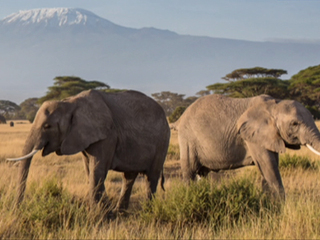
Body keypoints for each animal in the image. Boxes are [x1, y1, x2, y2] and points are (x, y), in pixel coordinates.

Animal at [7, 89, 170, 210]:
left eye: (47, 126)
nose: (17, 210)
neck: (71, 103)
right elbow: (89, 169)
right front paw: (105, 209)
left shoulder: (107, 135)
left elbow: (97, 169)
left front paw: (97, 214)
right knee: (129, 177)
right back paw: (121, 212)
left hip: (162, 141)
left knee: (151, 177)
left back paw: (147, 211)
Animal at [174, 94, 320, 200]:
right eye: (294, 124)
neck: (274, 105)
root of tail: (180, 119)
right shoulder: (252, 137)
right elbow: (268, 164)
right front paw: (278, 205)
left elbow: (270, 165)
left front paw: (267, 203)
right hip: (188, 140)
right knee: (190, 171)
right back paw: (189, 195)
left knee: (202, 173)